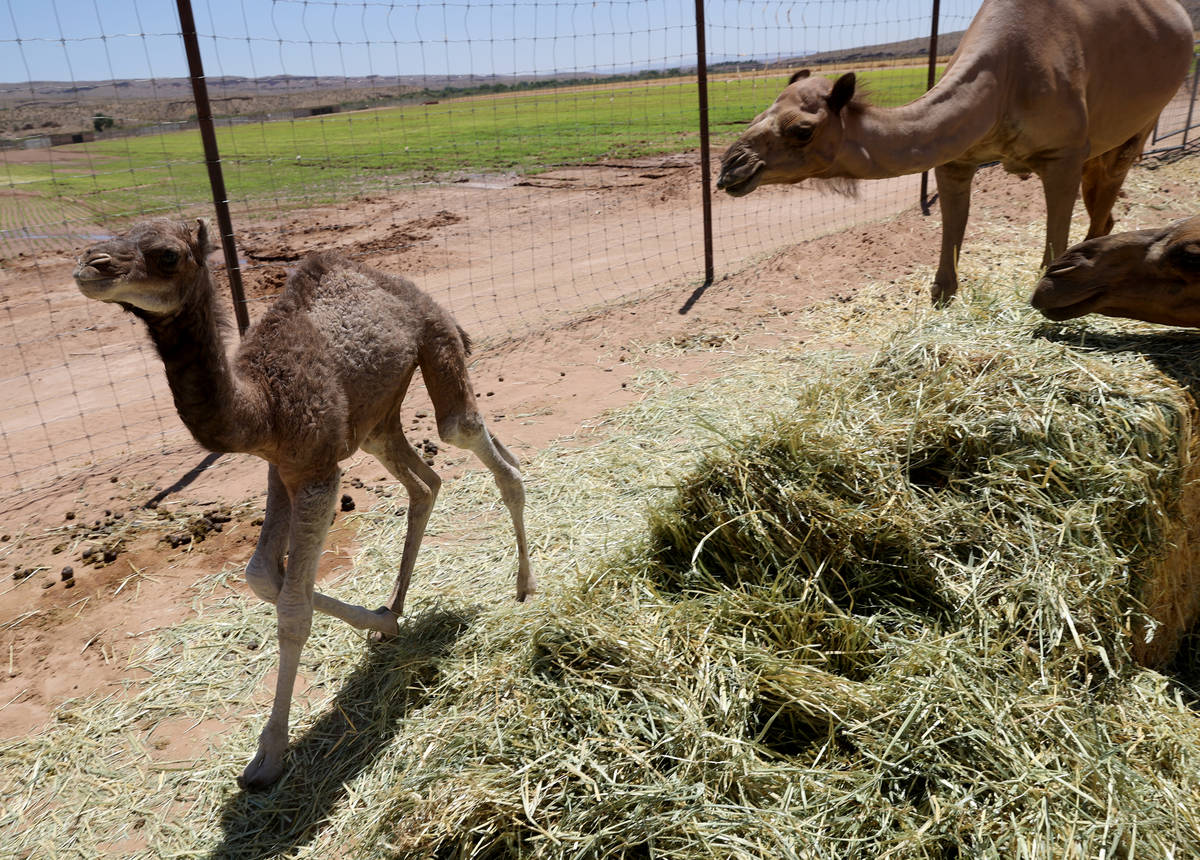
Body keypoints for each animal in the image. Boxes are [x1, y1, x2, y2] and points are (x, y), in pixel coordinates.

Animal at [69, 218, 530, 786]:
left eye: (167, 255)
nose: (91, 266)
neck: (261, 404)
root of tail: (412, 291)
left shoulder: (317, 476)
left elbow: (292, 608)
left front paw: (268, 755)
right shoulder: (282, 467)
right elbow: (262, 574)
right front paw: (381, 622)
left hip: (435, 341)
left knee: (467, 437)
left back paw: (525, 586)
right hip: (375, 418)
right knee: (427, 482)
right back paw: (396, 607)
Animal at [715, 0, 1195, 305]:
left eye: (802, 130)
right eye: (759, 113)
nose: (731, 168)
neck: (1004, 81)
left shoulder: (1063, 154)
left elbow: (1052, 244)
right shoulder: (955, 160)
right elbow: (949, 244)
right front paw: (942, 296)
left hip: (1136, 127)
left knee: (1105, 200)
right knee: (1105, 206)